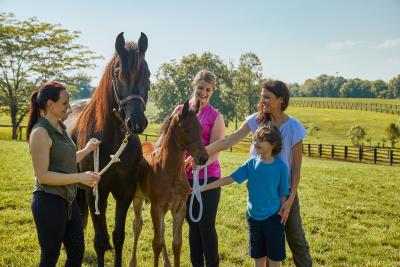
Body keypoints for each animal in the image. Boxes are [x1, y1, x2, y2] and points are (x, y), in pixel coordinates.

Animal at [68, 32, 151, 266]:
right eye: (118, 74)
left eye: (147, 74)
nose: (136, 122)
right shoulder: (95, 192)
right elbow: (100, 241)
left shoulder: (125, 192)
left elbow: (118, 237)